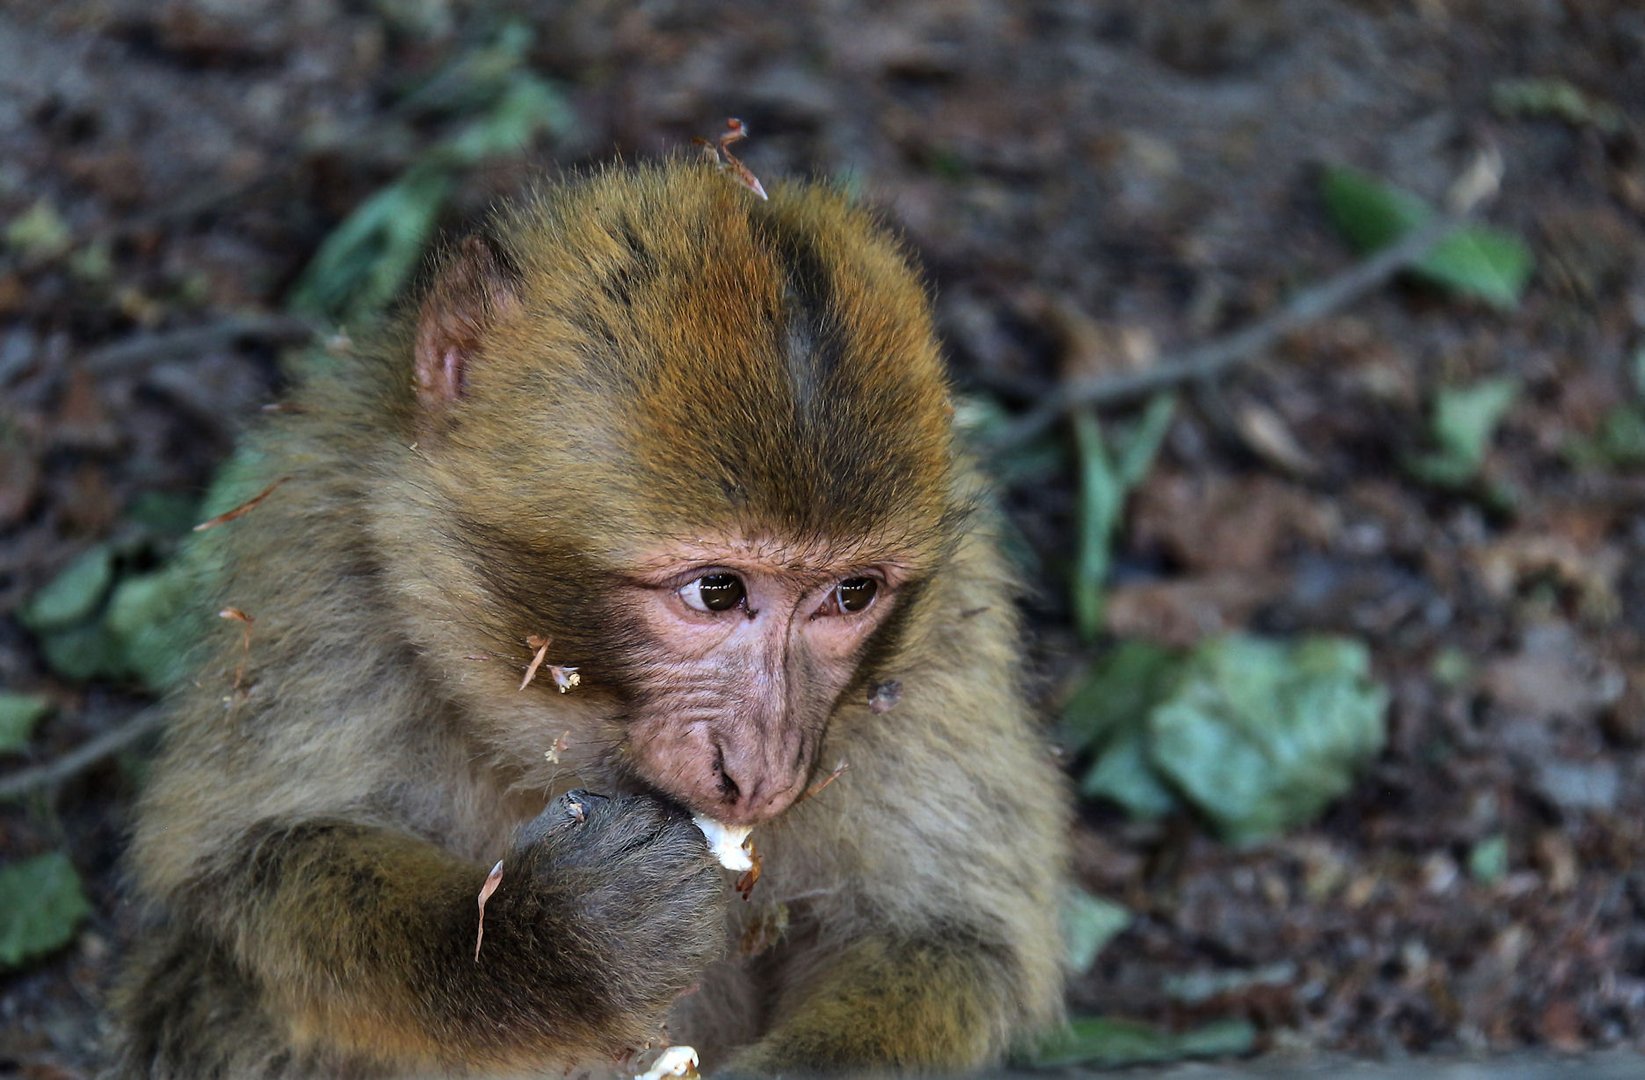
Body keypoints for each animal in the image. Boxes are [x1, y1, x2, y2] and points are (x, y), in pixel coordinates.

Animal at [115, 160, 1065, 1078]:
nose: (761, 770)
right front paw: (557, 937)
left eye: (852, 596)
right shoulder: (321, 562)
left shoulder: (950, 650)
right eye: (716, 591)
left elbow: (953, 942)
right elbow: (250, 865)